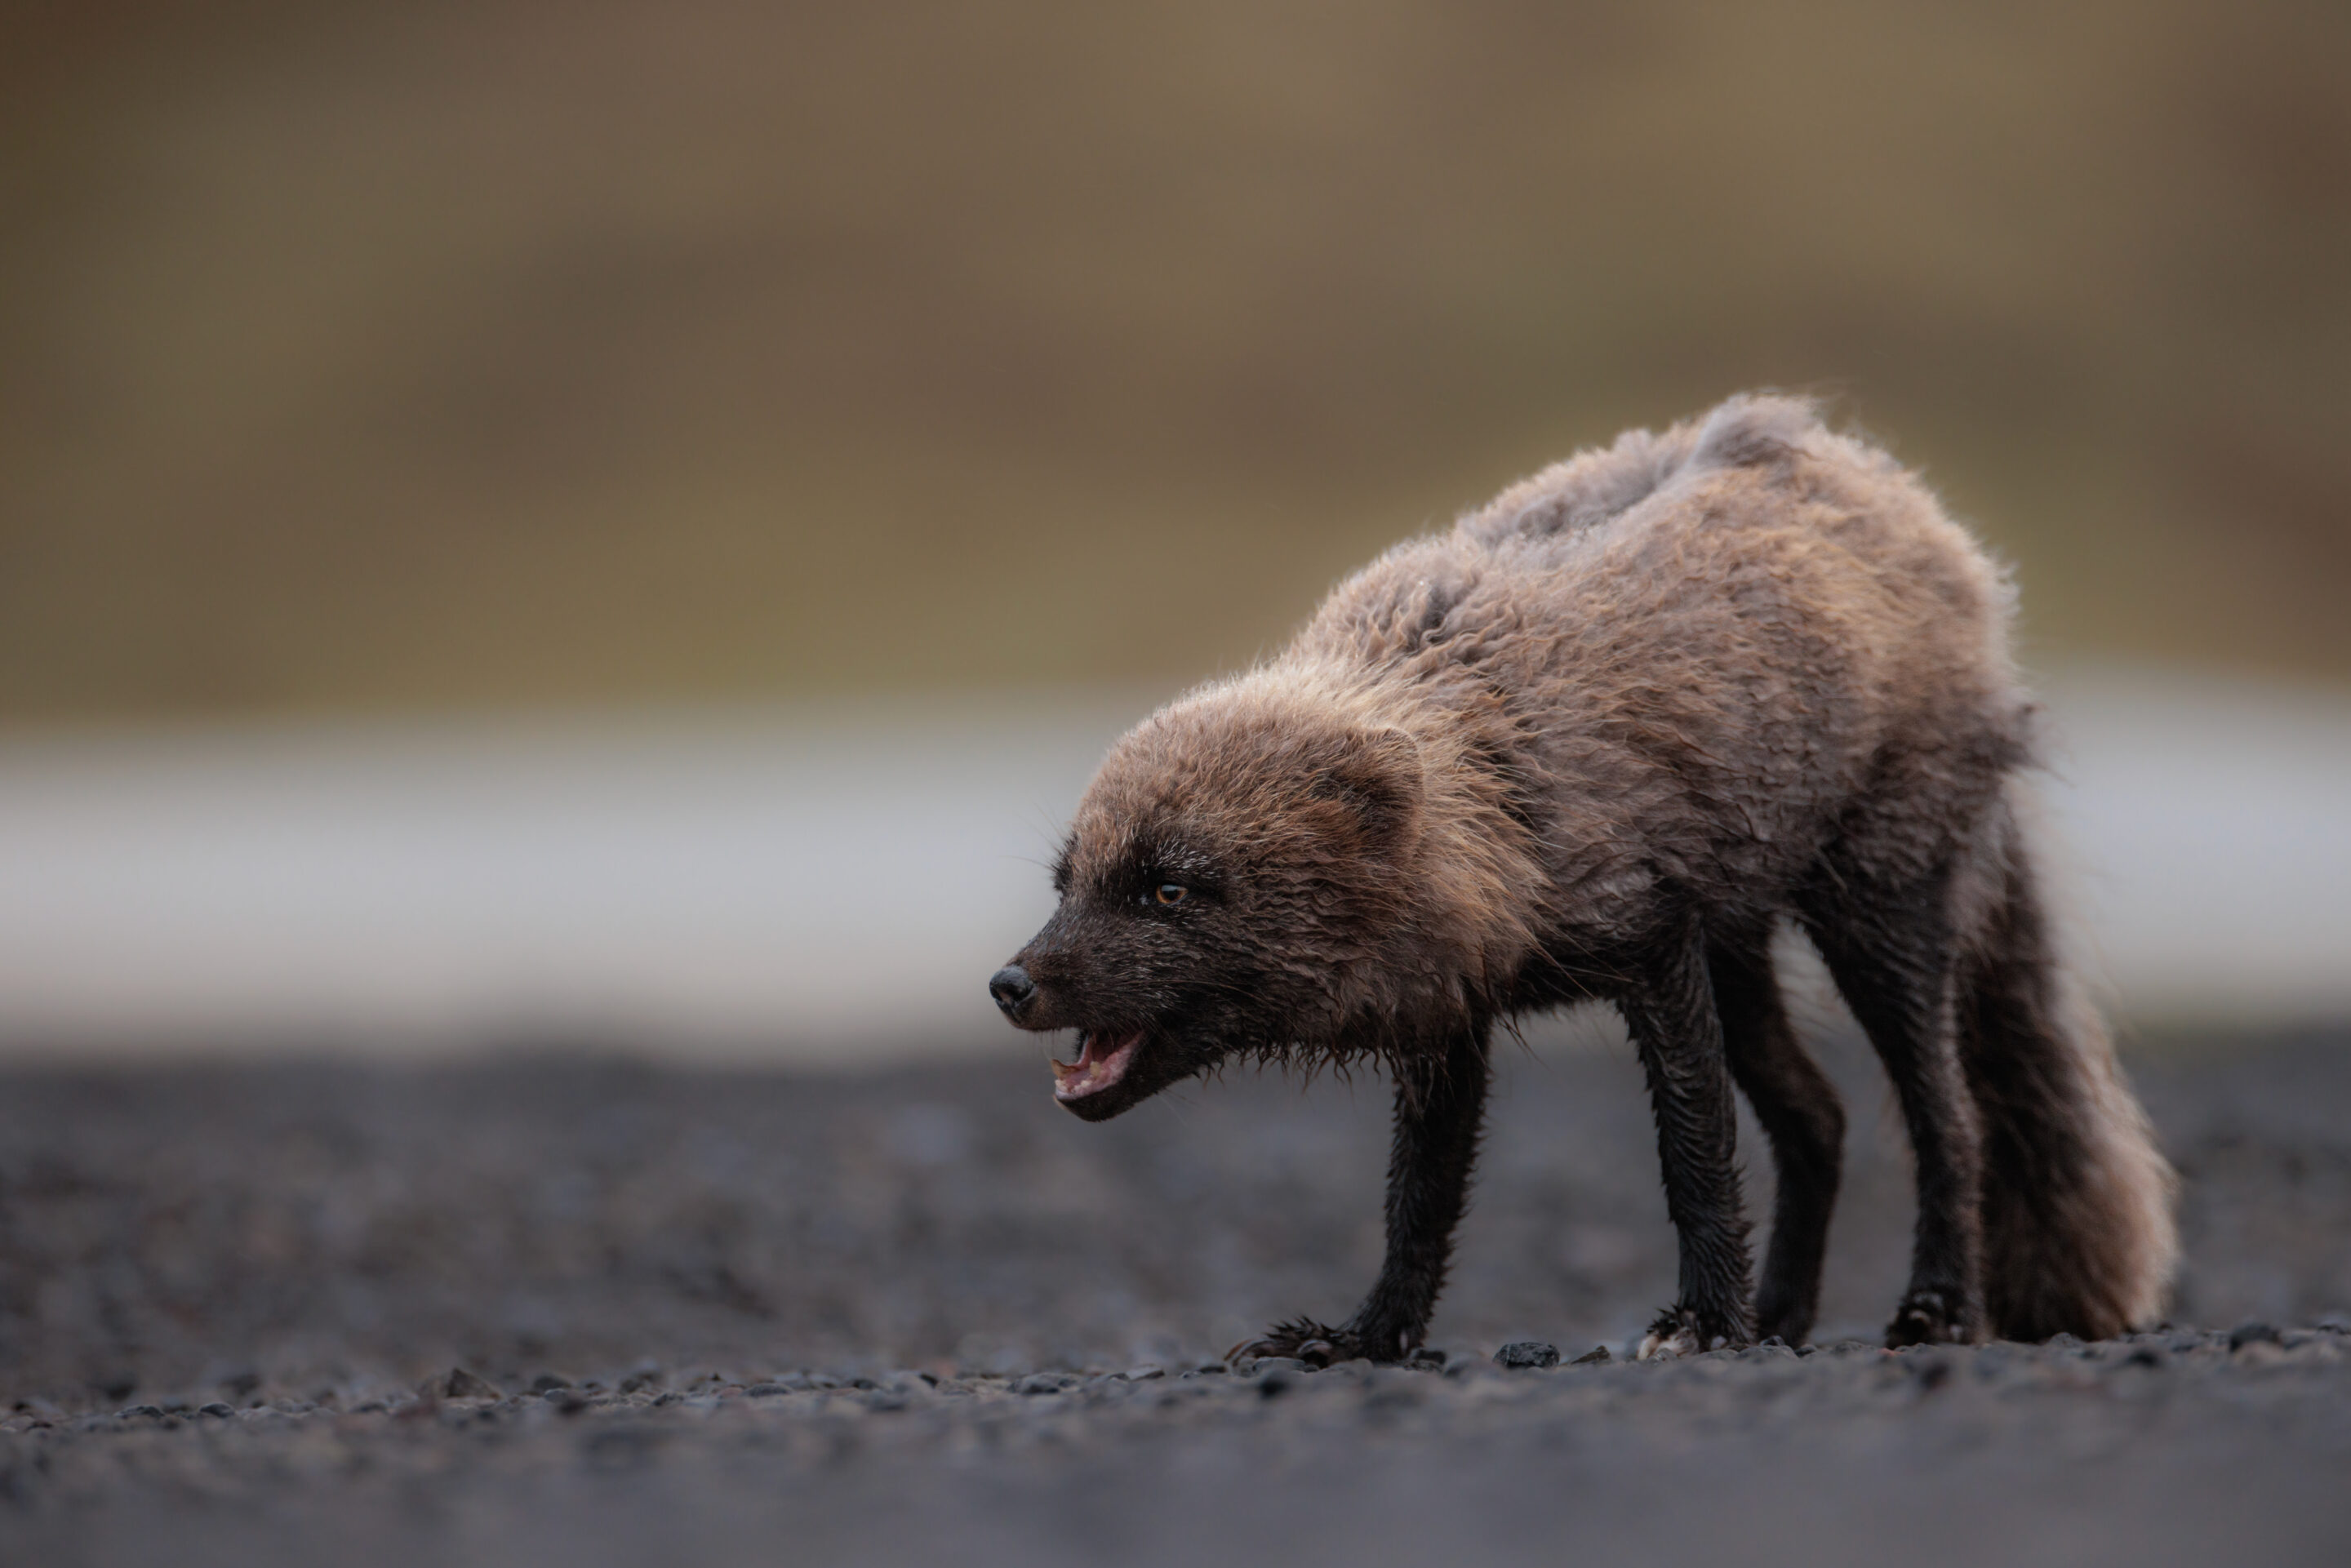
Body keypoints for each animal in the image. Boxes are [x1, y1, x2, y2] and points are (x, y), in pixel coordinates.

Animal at [989, 394, 2177, 1363]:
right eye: (1069, 879)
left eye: (1170, 887)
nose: (1011, 983)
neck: (1497, 791)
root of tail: (1908, 499)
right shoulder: (1451, 1016)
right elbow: (1418, 1201)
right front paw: (1363, 1338)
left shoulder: (1648, 943)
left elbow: (1694, 1152)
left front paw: (1701, 1320)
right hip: (1742, 941)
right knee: (1822, 1115)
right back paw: (1784, 1318)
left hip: (1876, 900)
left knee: (1950, 1118)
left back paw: (1932, 1309)